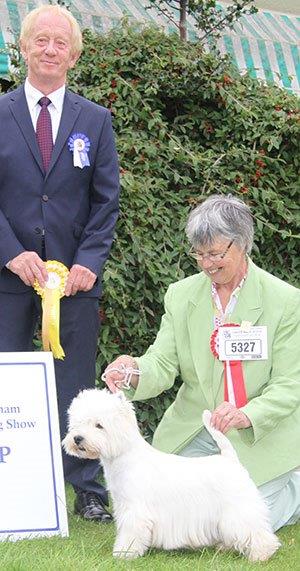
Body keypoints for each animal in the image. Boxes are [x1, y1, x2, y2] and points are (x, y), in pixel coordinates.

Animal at [62, 392, 280, 560]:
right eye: (77, 423)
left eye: (99, 425)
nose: (77, 438)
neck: (123, 457)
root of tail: (230, 459)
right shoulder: (123, 505)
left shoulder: (135, 510)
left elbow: (130, 533)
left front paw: (123, 554)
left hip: (238, 508)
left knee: (255, 530)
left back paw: (261, 554)